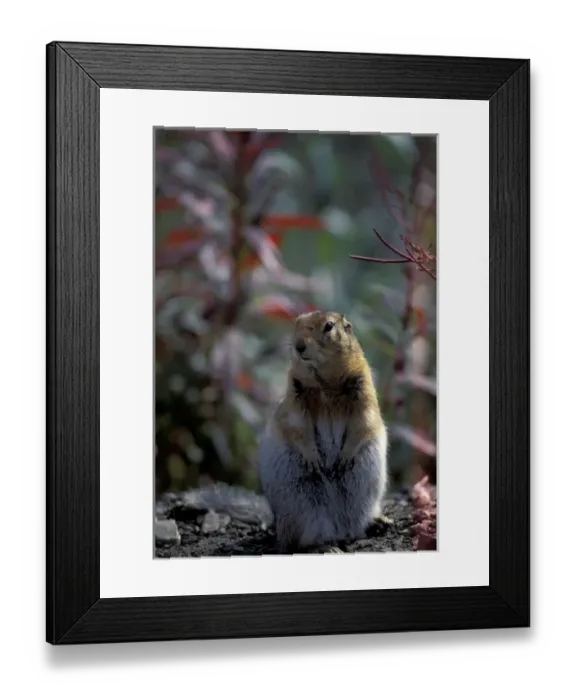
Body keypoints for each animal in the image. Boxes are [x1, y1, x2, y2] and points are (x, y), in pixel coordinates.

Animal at [257, 310, 389, 554]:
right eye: (297, 323)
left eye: (329, 326)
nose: (298, 345)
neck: (325, 381)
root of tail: (342, 531)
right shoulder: (295, 397)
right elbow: (299, 427)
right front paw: (315, 460)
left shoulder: (364, 390)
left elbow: (364, 421)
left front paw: (344, 458)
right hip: (303, 509)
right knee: (299, 543)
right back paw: (326, 547)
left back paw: (379, 523)